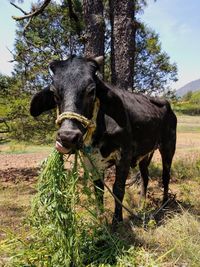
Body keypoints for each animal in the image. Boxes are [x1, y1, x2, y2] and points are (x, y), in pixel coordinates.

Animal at [30, 56, 177, 226]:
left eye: (92, 91)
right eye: (54, 92)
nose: (68, 136)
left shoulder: (124, 156)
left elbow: (118, 189)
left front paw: (116, 221)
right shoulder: (92, 160)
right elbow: (98, 190)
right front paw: (100, 220)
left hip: (168, 147)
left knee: (165, 176)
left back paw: (164, 204)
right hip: (146, 154)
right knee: (145, 177)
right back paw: (142, 205)